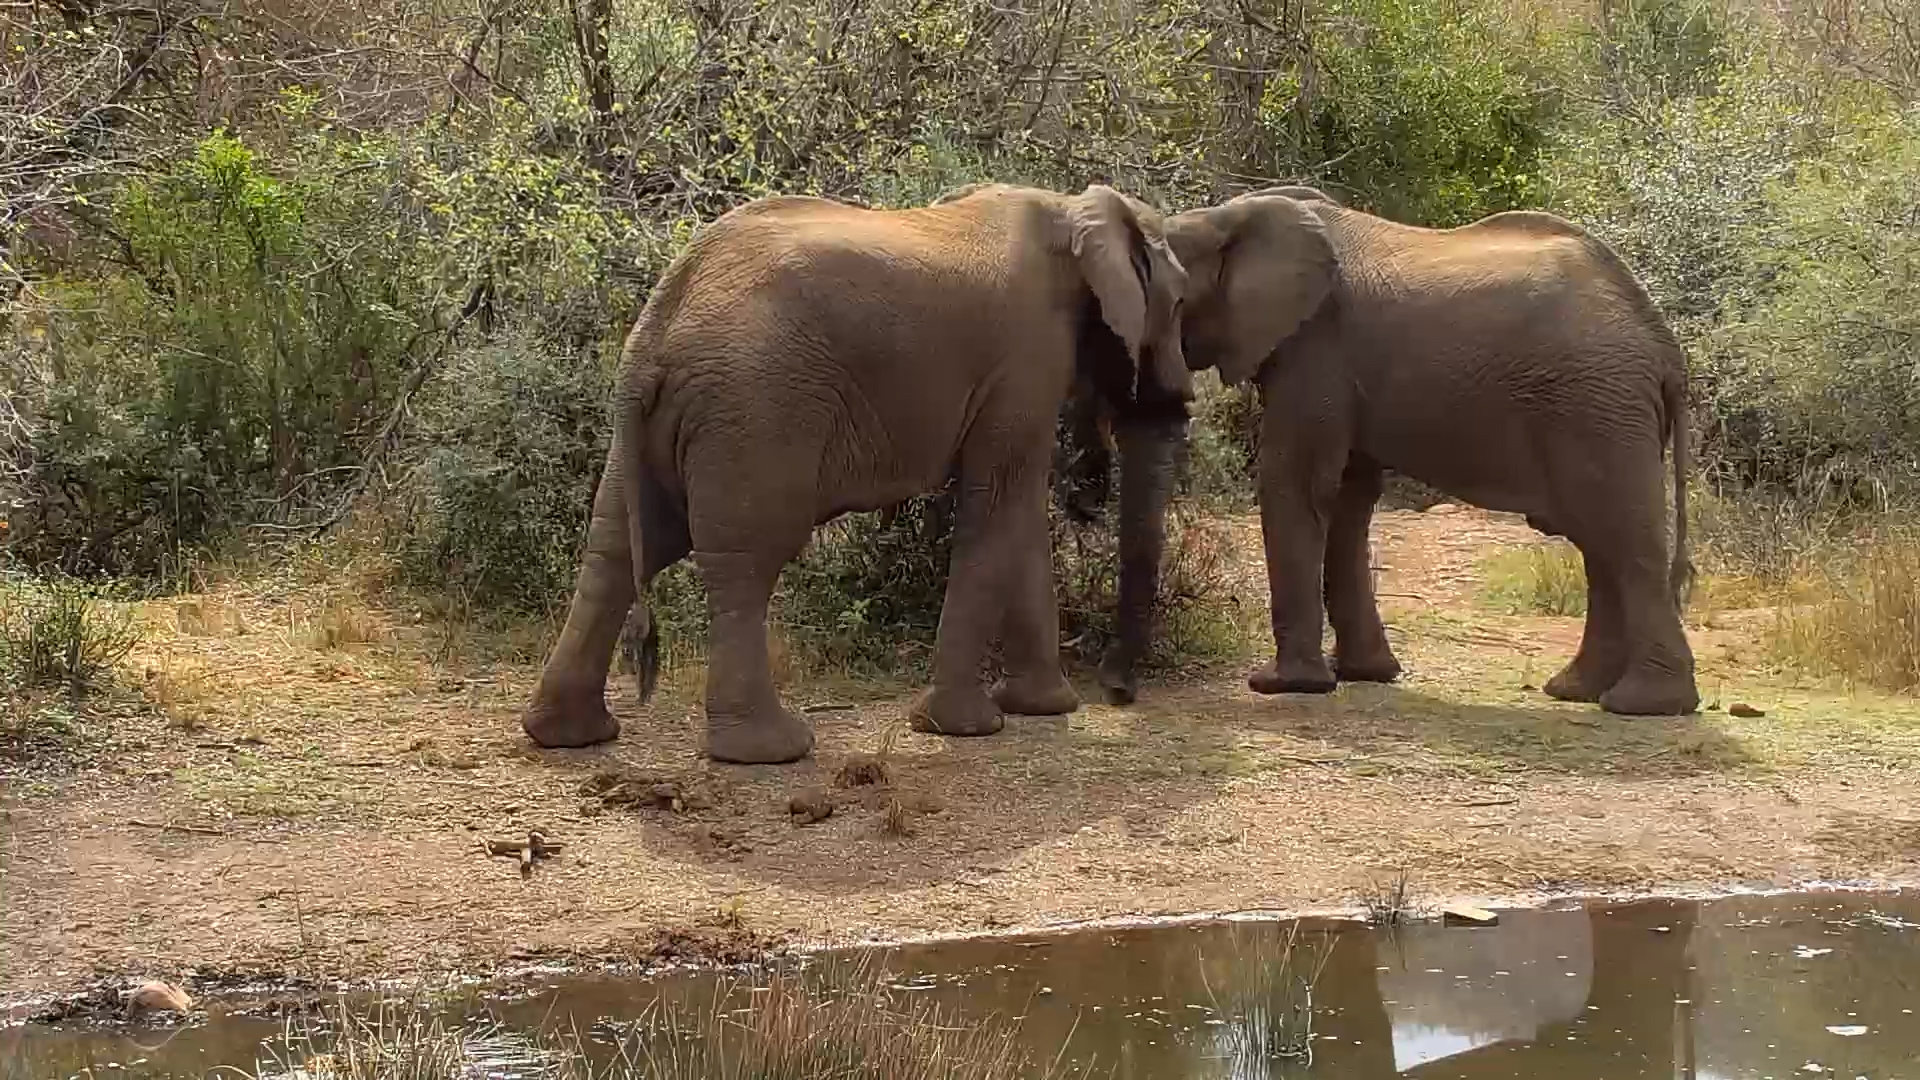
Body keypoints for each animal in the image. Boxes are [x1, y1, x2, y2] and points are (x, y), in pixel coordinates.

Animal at [519, 182, 1192, 764]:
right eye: (1182, 300)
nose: (1119, 696)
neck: (1074, 207)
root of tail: (657, 324)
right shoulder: (1027, 353)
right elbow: (1001, 503)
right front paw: (964, 727)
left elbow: (1019, 513)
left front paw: (1043, 708)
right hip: (758, 408)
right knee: (747, 555)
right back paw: (772, 751)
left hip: (671, 423)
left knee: (616, 546)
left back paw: (570, 734)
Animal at [1094, 186, 1700, 717]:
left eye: (1171, 302)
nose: (1121, 694)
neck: (1228, 217)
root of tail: (1666, 348)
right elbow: (1349, 497)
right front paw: (1364, 675)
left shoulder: (1316, 347)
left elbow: (1296, 482)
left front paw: (1280, 685)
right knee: (1601, 544)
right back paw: (1576, 692)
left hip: (1599, 406)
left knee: (1623, 537)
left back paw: (1643, 705)